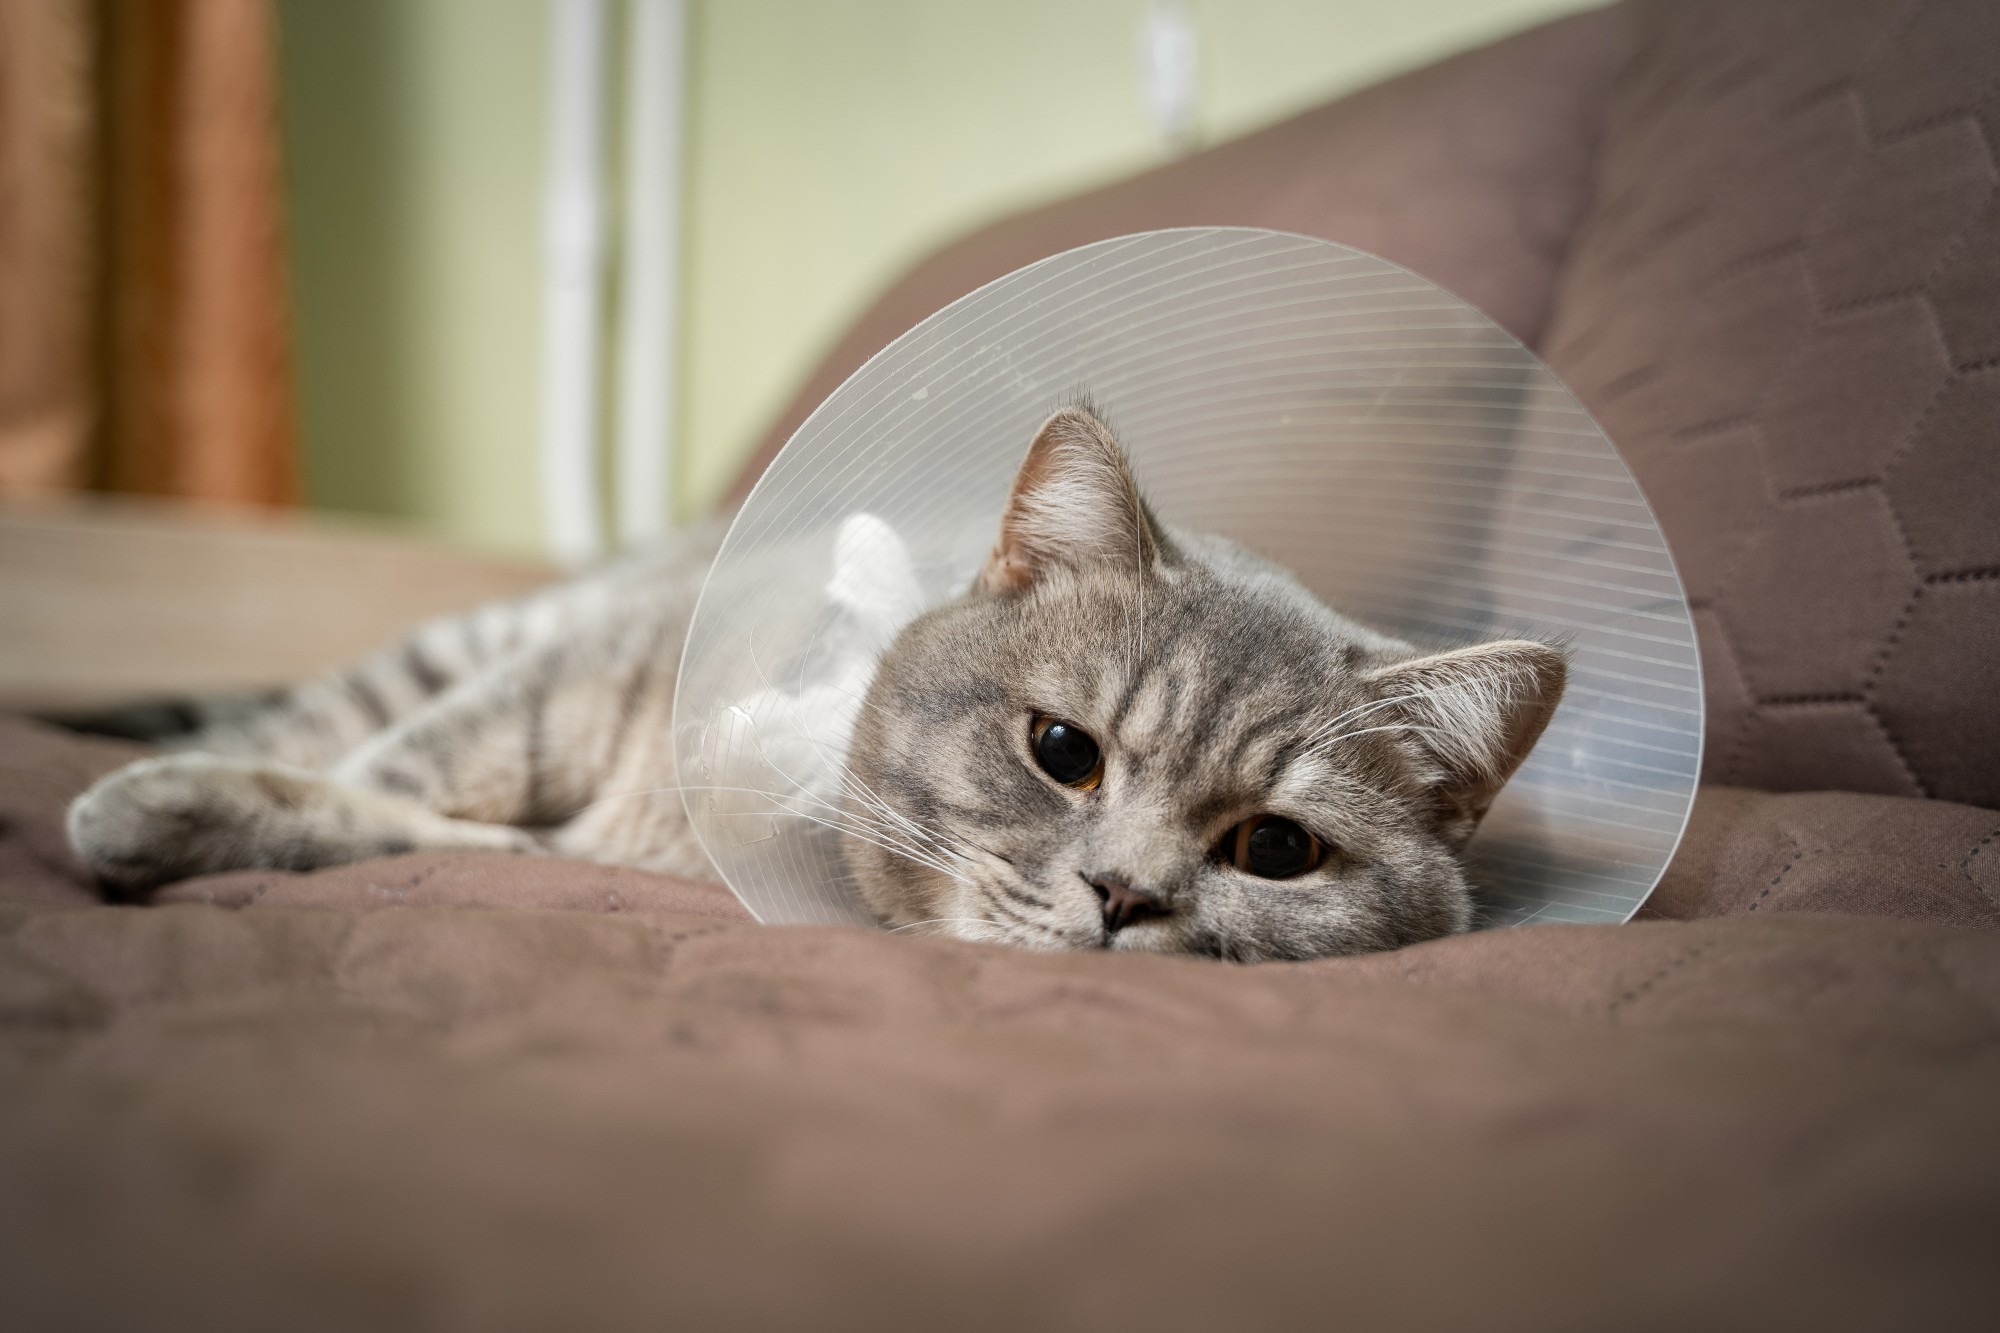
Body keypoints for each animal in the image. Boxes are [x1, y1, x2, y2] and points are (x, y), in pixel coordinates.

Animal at [66, 404, 1560, 956]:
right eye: (1062, 752)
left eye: (1275, 850)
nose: (1126, 896)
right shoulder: (553, 693)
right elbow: (379, 775)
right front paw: (169, 804)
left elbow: (401, 823)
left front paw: (179, 817)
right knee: (317, 715)